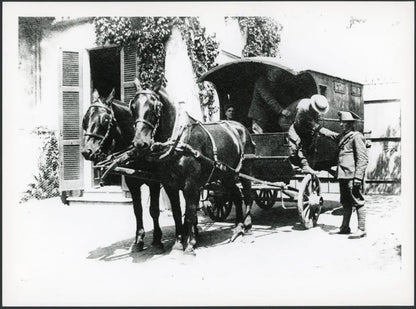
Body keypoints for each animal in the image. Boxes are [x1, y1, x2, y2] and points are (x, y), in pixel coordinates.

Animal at [82, 88, 180, 251]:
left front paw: (157, 239)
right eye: (85, 119)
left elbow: (153, 210)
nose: (86, 151)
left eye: (105, 120)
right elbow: (137, 210)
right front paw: (139, 239)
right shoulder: (132, 183)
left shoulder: (153, 182)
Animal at [128, 80, 255, 255]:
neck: (178, 140)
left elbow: (189, 213)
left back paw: (247, 228)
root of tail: (240, 128)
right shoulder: (170, 185)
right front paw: (178, 244)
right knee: (236, 195)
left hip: (244, 170)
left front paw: (189, 246)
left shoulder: (191, 184)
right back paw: (238, 229)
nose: (140, 143)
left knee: (248, 195)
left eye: (154, 107)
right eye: (133, 107)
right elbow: (177, 213)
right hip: (226, 174)